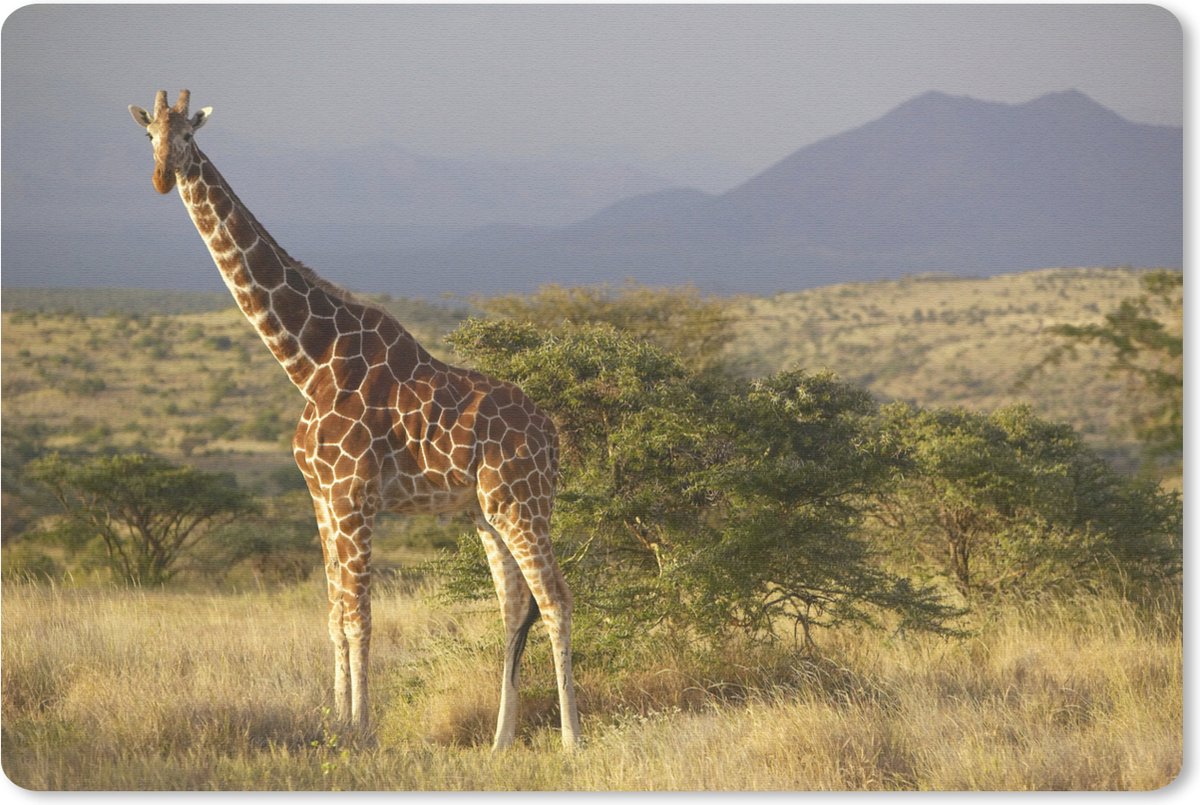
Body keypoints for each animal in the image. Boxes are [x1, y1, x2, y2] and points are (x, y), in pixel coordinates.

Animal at [128, 90, 580, 750]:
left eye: (188, 135)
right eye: (150, 136)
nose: (163, 176)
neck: (308, 360)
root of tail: (552, 436)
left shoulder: (352, 494)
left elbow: (362, 618)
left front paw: (362, 729)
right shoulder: (320, 497)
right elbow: (334, 617)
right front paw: (337, 722)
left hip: (522, 502)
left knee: (556, 600)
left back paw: (572, 740)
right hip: (485, 512)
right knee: (514, 607)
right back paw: (500, 743)